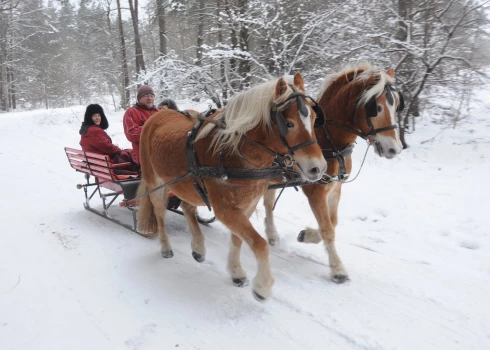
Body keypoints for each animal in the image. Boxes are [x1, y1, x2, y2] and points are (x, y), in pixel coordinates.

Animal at [137, 72, 326, 300]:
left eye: (314, 119)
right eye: (289, 124)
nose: (318, 168)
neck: (235, 152)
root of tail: (158, 114)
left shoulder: (247, 205)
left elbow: (238, 239)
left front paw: (236, 272)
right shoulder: (225, 209)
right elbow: (259, 243)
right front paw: (262, 286)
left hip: (187, 184)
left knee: (188, 208)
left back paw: (198, 247)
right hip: (155, 180)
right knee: (159, 213)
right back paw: (165, 247)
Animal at [262, 62, 404, 282]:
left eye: (397, 105)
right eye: (377, 108)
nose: (394, 149)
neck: (328, 142)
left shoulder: (335, 189)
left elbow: (332, 222)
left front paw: (307, 235)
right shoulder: (315, 192)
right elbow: (327, 228)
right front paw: (337, 268)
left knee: (268, 203)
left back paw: (271, 234)